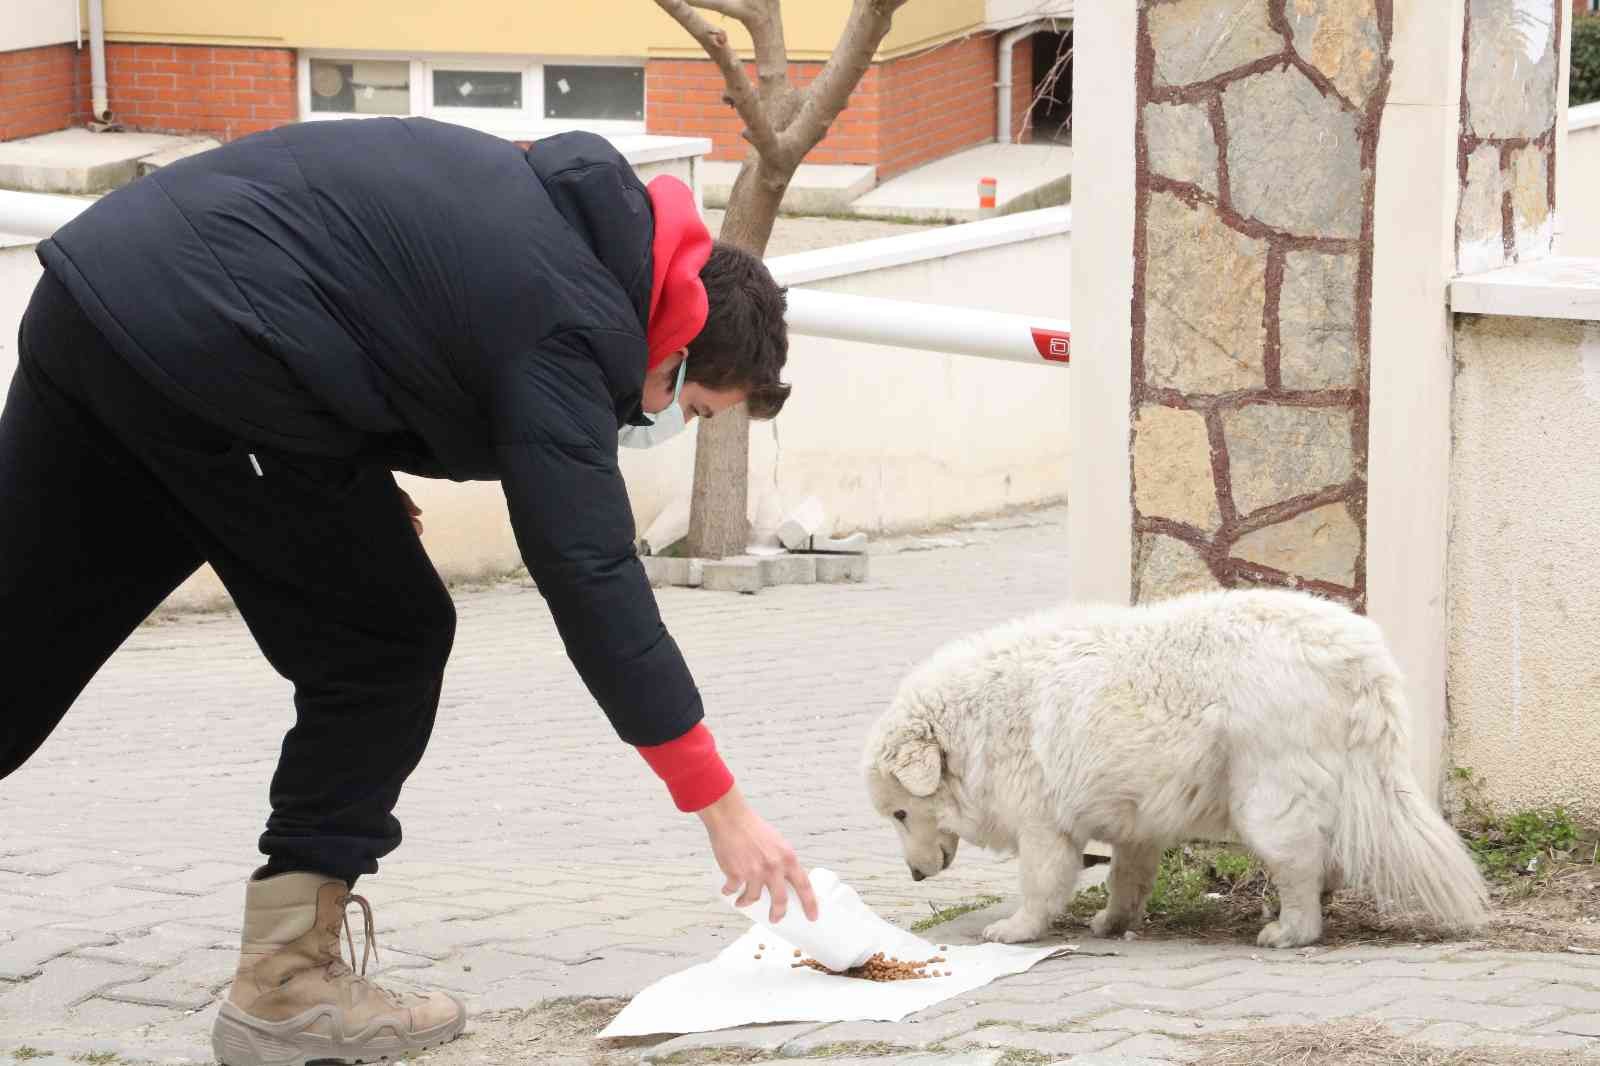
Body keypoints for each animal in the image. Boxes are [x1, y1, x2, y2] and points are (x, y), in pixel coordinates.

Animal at [864, 589, 1484, 947]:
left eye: (900, 813)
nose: (914, 875)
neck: (976, 721)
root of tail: (1355, 655)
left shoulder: (1044, 826)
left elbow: (1041, 884)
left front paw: (1015, 930)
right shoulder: (1136, 820)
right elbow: (1126, 877)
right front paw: (1113, 923)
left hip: (1266, 794)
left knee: (1301, 860)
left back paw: (1290, 930)